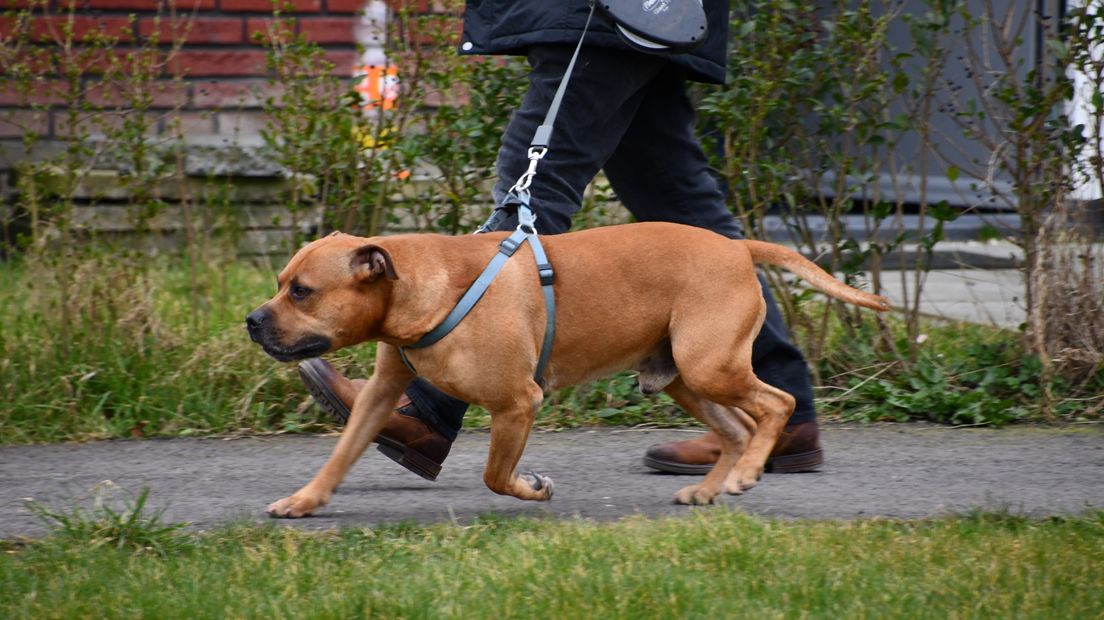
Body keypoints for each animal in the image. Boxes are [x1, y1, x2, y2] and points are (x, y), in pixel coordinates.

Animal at [243, 219, 887, 514]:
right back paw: (712, 486)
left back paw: (747, 472)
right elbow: (341, 453)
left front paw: (532, 489)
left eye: (301, 292)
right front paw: (305, 500)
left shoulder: (517, 404)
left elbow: (495, 475)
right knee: (737, 428)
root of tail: (737, 246)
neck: (422, 289)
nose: (250, 319)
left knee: (776, 404)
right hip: (683, 377)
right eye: (279, 283)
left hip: (710, 367)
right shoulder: (380, 394)